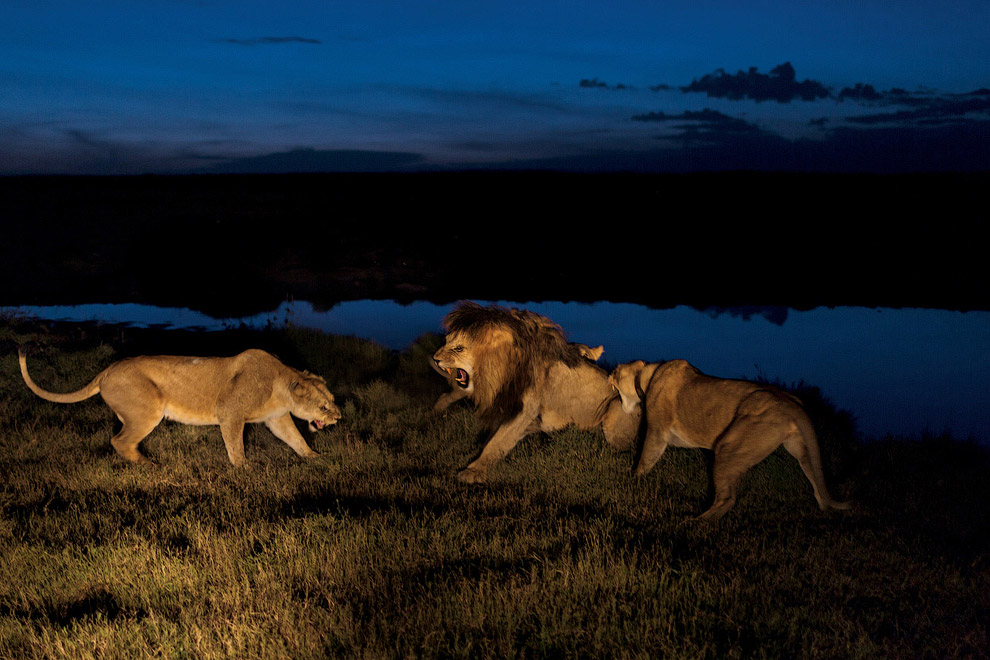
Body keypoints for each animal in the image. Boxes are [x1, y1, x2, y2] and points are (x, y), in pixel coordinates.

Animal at [17, 348, 342, 466]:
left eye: (332, 402)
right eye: (324, 407)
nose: (339, 417)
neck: (281, 383)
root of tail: (106, 371)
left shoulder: (277, 418)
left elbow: (296, 438)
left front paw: (315, 458)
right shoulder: (230, 413)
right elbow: (235, 445)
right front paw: (243, 470)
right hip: (147, 411)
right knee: (119, 440)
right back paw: (147, 465)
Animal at [436, 302, 640, 482]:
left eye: (459, 348)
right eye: (446, 341)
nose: (436, 359)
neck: (503, 370)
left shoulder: (525, 409)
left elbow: (498, 441)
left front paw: (473, 471)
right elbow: (492, 437)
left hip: (615, 406)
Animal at [608, 360, 848, 520]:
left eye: (615, 378)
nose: (610, 375)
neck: (646, 375)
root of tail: (790, 402)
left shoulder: (658, 431)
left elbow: (645, 458)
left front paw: (631, 477)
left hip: (730, 446)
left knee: (727, 498)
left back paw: (695, 522)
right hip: (800, 449)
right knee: (816, 484)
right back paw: (825, 511)